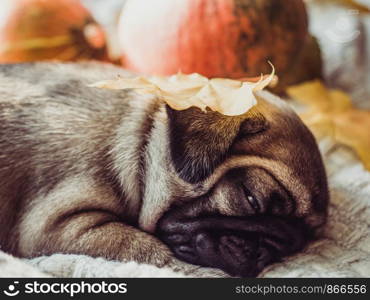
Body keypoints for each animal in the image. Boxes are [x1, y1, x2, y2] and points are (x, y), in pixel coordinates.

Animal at [0, 62, 330, 276]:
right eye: (251, 198)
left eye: (295, 244)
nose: (265, 250)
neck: (142, 141)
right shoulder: (56, 225)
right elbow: (143, 247)